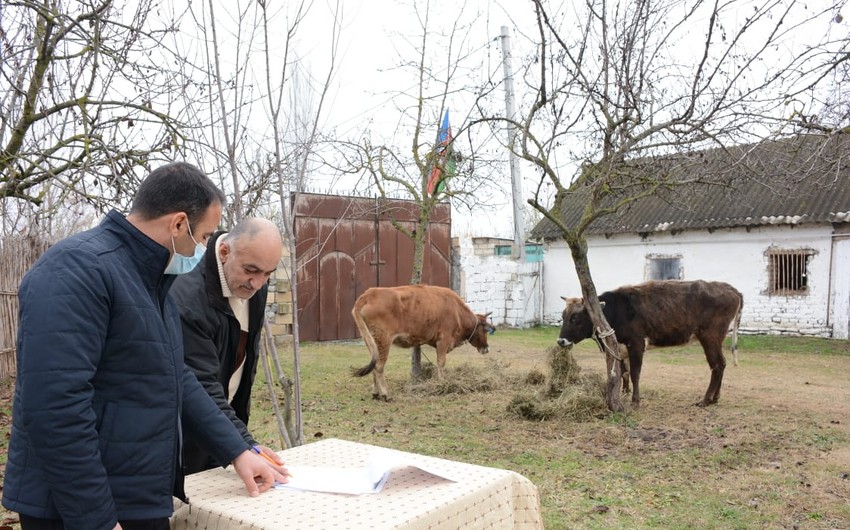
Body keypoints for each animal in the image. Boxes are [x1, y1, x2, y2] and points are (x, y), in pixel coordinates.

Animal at [352, 284, 496, 400]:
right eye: (485, 330)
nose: (487, 348)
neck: (457, 311)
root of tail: (369, 294)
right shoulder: (443, 340)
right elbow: (441, 362)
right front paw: (442, 383)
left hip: (370, 340)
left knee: (374, 365)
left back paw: (375, 393)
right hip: (384, 340)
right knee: (379, 366)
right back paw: (386, 394)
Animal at [552, 278, 740, 406]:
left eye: (576, 318)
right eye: (563, 316)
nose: (561, 341)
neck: (616, 310)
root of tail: (730, 289)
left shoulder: (636, 344)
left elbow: (635, 373)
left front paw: (635, 401)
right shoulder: (620, 348)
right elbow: (624, 373)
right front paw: (624, 393)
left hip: (710, 337)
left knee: (716, 366)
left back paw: (706, 399)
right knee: (722, 364)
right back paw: (715, 398)